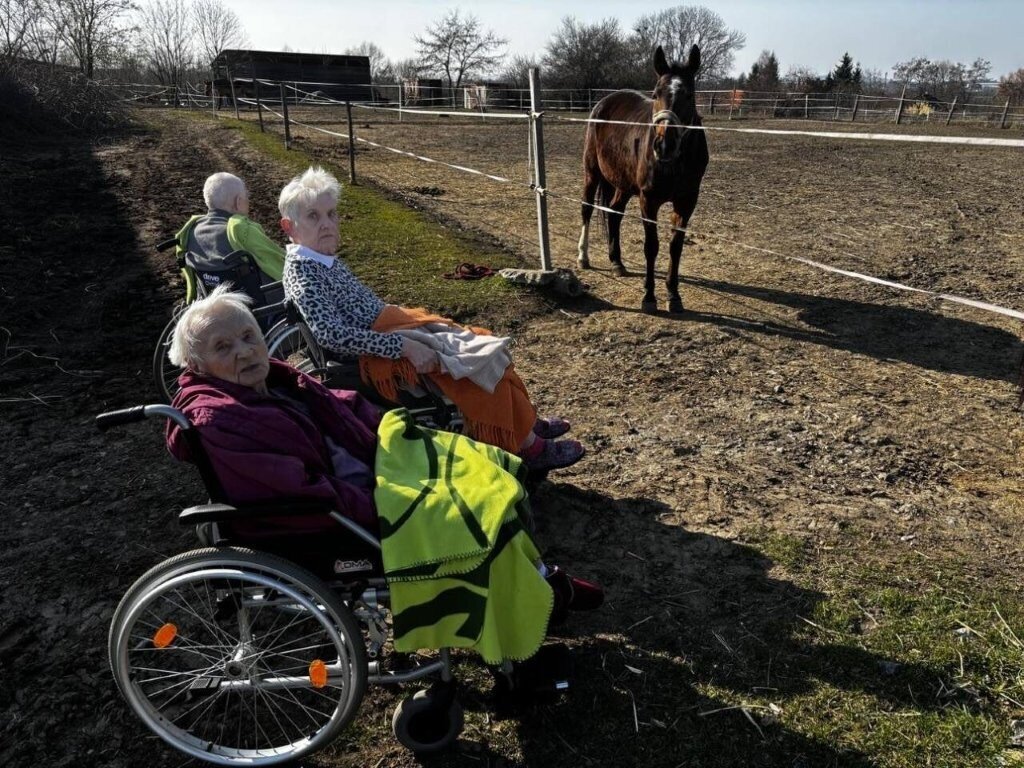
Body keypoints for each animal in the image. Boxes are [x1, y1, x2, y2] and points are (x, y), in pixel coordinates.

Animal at [577, 45, 709, 313]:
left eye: (690, 95)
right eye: (656, 93)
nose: (664, 145)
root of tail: (603, 102)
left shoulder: (686, 201)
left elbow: (675, 247)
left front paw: (674, 295)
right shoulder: (648, 200)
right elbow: (651, 247)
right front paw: (649, 297)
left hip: (623, 184)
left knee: (614, 212)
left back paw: (617, 262)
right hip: (592, 172)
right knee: (587, 208)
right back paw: (583, 257)